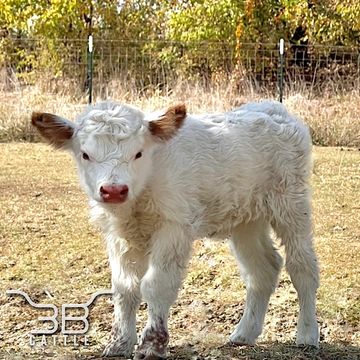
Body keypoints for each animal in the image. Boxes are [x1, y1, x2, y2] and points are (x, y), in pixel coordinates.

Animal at [31, 100, 318, 358]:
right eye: (85, 154)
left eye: (138, 153)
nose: (113, 190)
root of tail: (275, 109)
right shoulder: (118, 235)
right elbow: (125, 288)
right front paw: (118, 344)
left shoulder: (174, 227)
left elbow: (155, 285)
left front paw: (151, 346)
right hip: (247, 219)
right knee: (262, 270)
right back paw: (244, 334)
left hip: (291, 203)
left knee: (302, 267)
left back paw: (307, 335)